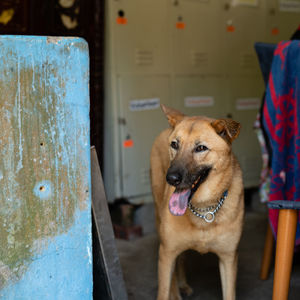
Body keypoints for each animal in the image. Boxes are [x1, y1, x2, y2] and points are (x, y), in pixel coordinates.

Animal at [151, 104, 245, 298]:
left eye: (201, 148)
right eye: (175, 145)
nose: (171, 179)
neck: (204, 209)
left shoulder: (229, 259)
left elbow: (229, 293)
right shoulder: (166, 253)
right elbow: (164, 290)